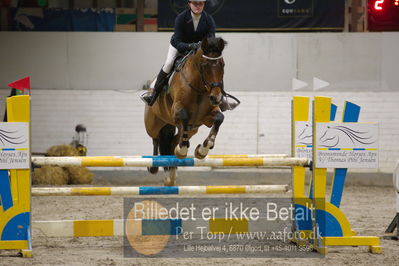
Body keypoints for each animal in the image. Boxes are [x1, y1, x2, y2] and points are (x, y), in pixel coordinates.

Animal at [144, 36, 227, 186]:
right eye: (204, 65)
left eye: (222, 65)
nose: (216, 97)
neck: (199, 88)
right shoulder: (176, 111)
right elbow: (184, 116)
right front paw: (182, 151)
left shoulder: (206, 117)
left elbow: (219, 119)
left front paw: (203, 150)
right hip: (153, 123)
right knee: (156, 138)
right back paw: (154, 167)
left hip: (193, 129)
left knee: (172, 141)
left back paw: (171, 175)